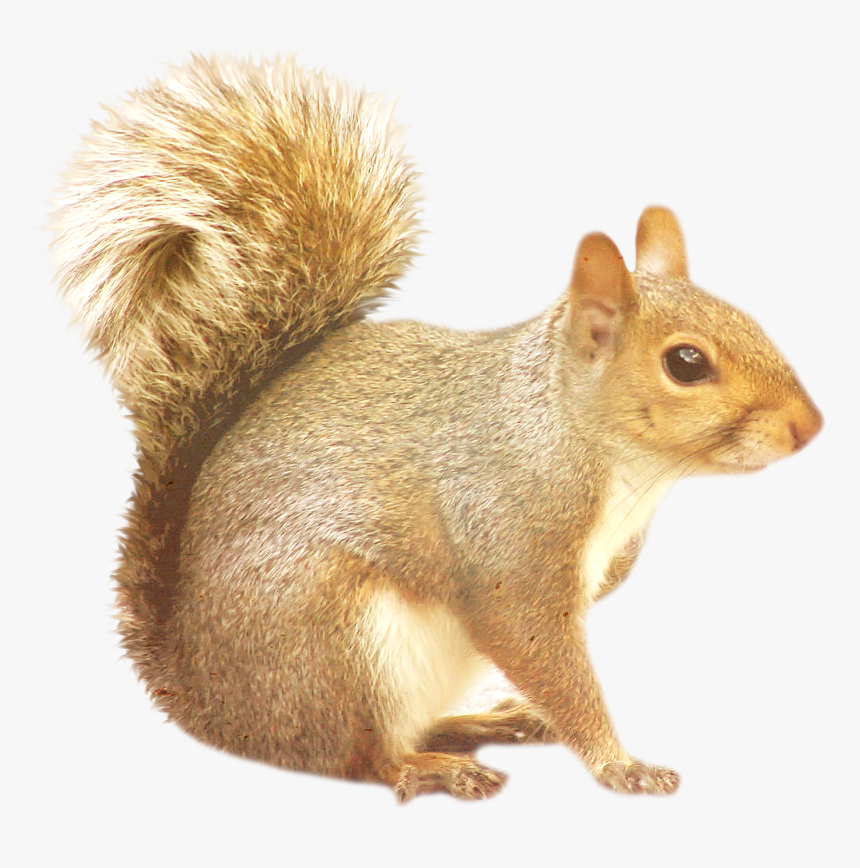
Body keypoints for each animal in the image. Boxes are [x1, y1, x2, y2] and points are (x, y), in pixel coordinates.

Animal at [54, 55, 822, 802]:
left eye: (750, 319)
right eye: (686, 363)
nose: (809, 426)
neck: (597, 449)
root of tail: (205, 698)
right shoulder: (511, 539)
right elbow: (538, 648)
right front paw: (620, 766)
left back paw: (483, 723)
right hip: (338, 641)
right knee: (361, 757)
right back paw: (431, 768)